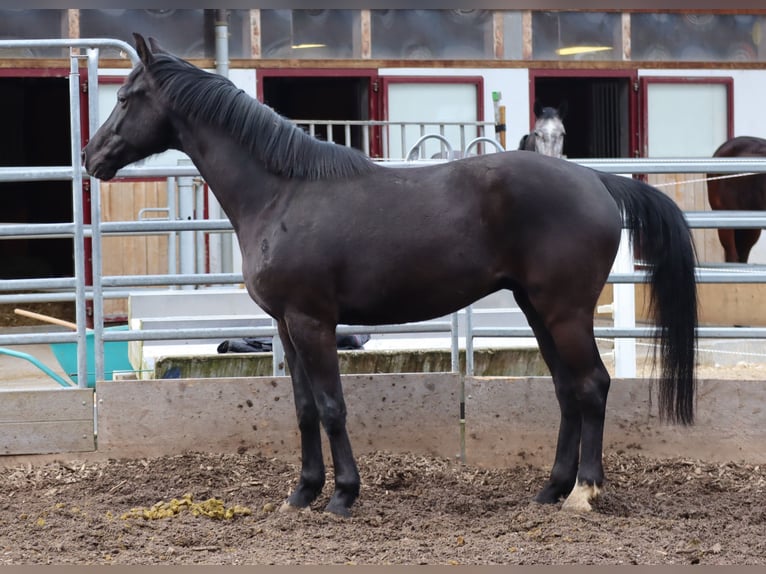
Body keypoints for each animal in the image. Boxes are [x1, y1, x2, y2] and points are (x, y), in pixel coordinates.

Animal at [82, 33, 704, 520]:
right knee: (567, 391)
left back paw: (585, 492)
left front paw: (342, 496)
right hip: (538, 311)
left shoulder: (313, 322)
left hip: (565, 312)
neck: (283, 193)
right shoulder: (287, 326)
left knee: (593, 385)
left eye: (124, 97)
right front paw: (302, 493)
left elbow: (332, 406)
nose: (90, 156)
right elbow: (304, 410)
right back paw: (551, 489)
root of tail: (597, 180)